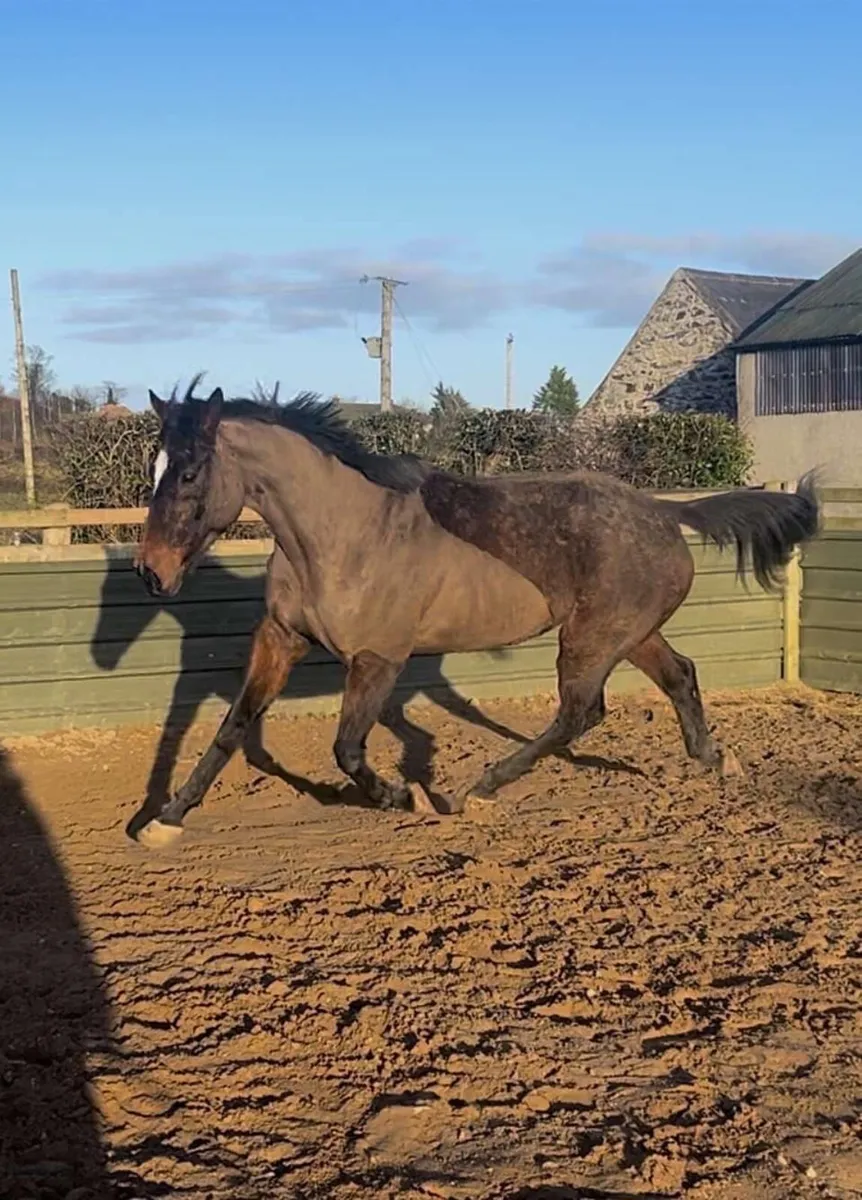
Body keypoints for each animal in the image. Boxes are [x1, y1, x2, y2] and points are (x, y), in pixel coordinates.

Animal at [132, 376, 819, 848]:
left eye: (190, 473)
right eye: (155, 466)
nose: (151, 572)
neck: (341, 533)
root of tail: (664, 512)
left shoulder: (379, 659)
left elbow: (347, 749)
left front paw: (402, 796)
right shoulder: (280, 638)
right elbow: (232, 727)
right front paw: (165, 819)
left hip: (592, 639)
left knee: (580, 712)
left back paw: (475, 791)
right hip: (631, 633)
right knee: (679, 676)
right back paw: (715, 759)